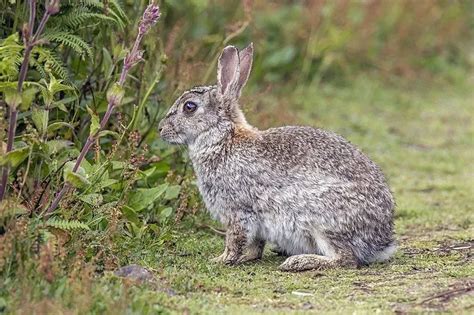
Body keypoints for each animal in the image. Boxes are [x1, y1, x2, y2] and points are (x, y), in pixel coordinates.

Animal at [157, 43, 394, 272]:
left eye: (189, 107)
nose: (160, 129)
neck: (223, 137)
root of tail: (382, 241)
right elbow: (255, 245)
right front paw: (247, 257)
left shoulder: (237, 210)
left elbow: (235, 240)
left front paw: (221, 260)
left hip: (323, 220)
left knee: (346, 259)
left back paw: (298, 262)